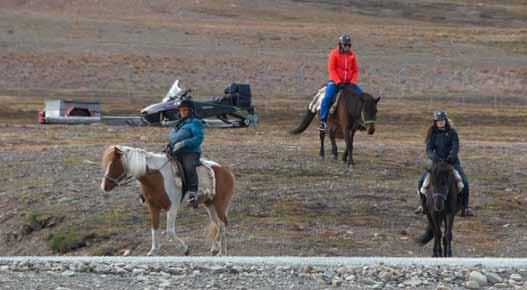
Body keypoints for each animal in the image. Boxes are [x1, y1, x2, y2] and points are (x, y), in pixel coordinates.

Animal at [102, 145, 234, 256]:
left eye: (114, 164)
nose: (104, 186)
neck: (158, 177)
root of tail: (227, 172)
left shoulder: (172, 208)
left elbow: (169, 231)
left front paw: (184, 249)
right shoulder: (153, 207)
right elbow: (154, 228)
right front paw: (153, 251)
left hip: (219, 204)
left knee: (222, 224)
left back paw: (222, 252)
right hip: (210, 205)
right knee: (217, 224)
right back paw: (215, 248)